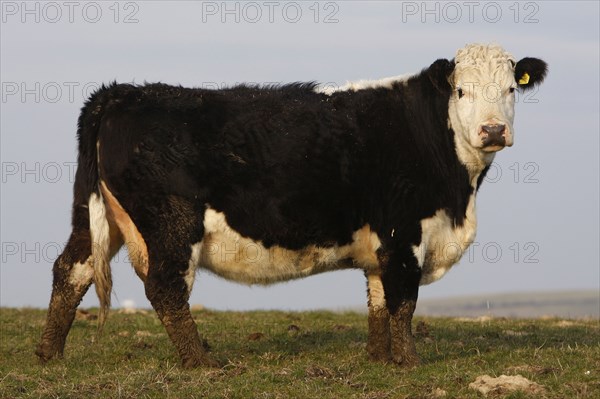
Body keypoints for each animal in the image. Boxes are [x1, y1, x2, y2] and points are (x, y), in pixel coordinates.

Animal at [35, 43, 548, 368]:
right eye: (461, 91)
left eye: (511, 89)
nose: (493, 130)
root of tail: (122, 92)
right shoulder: (404, 231)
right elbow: (403, 299)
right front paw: (409, 363)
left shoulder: (381, 242)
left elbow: (379, 301)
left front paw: (378, 359)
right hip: (171, 222)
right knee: (164, 287)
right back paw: (201, 362)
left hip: (94, 214)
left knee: (71, 269)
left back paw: (49, 354)